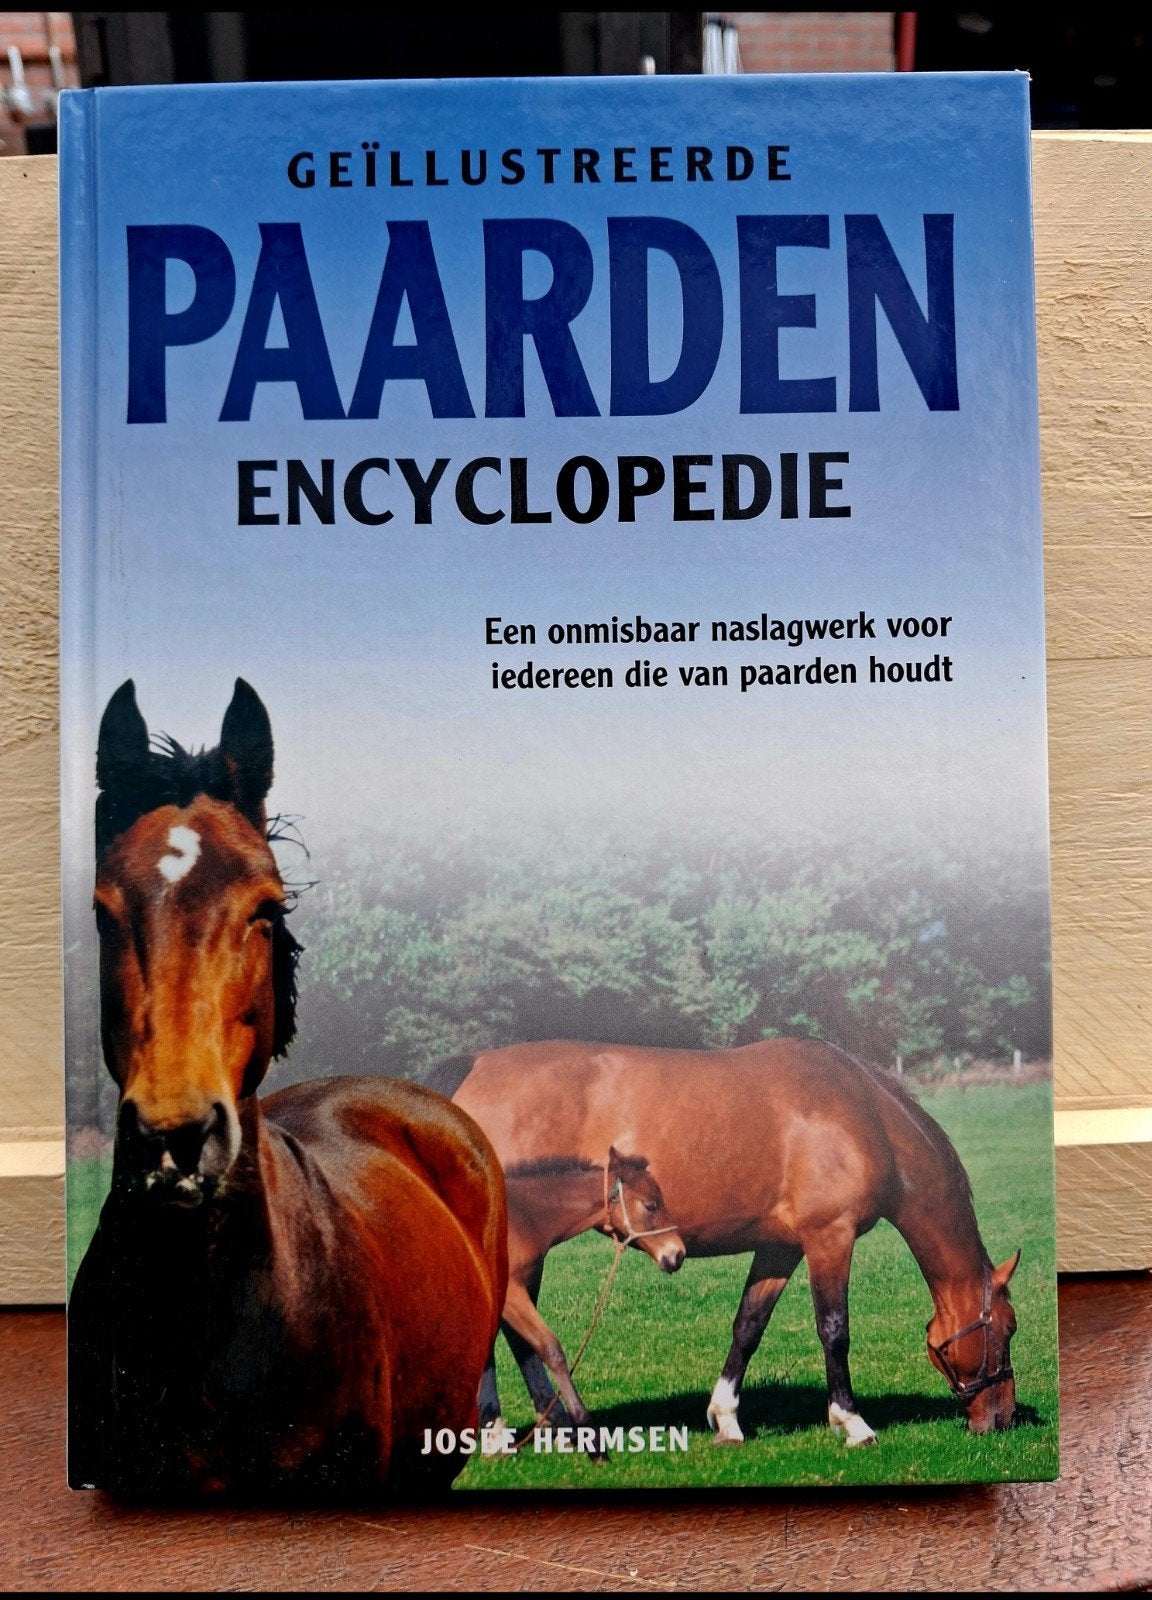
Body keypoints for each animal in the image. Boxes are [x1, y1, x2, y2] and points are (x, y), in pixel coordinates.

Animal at [471, 1143, 685, 1437]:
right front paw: (583, 1428)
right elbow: (549, 1348)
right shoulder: (512, 1294)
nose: (678, 1254)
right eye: (650, 1205)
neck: (521, 1218)